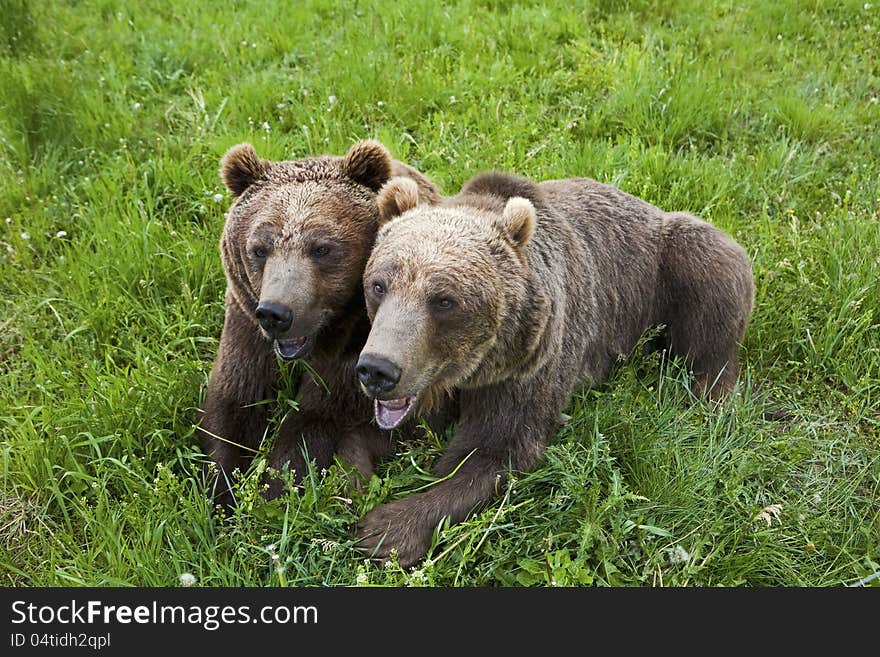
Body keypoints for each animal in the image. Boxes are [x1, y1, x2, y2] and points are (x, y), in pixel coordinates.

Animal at [200, 141, 444, 504]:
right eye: (258, 249)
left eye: (322, 248)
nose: (276, 313)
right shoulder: (245, 323)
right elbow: (234, 403)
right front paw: (222, 491)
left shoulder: (363, 341)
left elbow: (318, 419)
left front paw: (276, 489)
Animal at [354, 169, 752, 564]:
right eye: (379, 285)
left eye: (444, 300)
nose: (378, 369)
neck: (470, 371)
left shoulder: (528, 366)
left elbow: (498, 450)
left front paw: (388, 529)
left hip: (667, 270)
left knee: (710, 287)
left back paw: (709, 395)